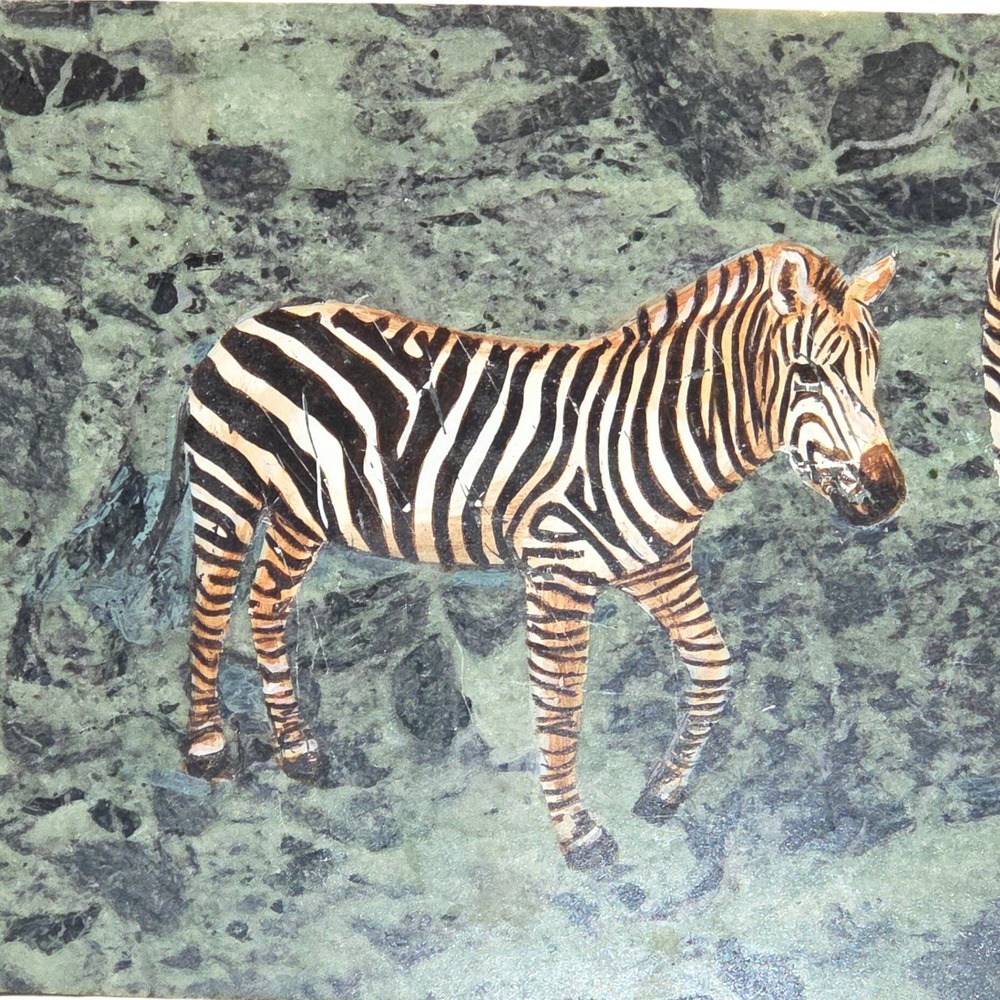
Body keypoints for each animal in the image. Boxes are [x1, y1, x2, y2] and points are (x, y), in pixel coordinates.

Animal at [174, 241, 905, 869]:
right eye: (808, 374)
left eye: (873, 373)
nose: (888, 495)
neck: (653, 432)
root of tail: (254, 319)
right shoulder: (558, 571)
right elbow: (561, 707)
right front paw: (579, 835)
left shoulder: (658, 566)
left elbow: (712, 670)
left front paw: (662, 791)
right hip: (230, 489)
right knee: (209, 609)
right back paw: (207, 747)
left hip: (303, 512)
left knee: (267, 602)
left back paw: (297, 750)